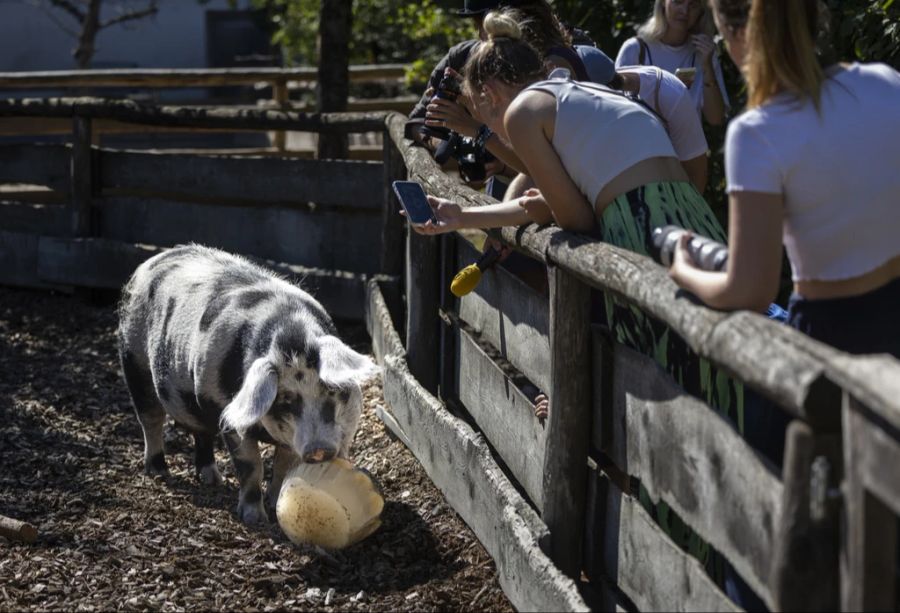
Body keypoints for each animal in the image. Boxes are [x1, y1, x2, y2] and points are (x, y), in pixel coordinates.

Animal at [115, 243, 376, 520]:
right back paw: (158, 471)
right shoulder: (227, 413)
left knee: (201, 432)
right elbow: (251, 466)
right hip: (133, 358)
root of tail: (153, 260)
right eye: (286, 398)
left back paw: (213, 480)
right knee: (150, 419)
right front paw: (255, 518)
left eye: (331, 389)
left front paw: (276, 502)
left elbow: (283, 464)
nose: (319, 449)